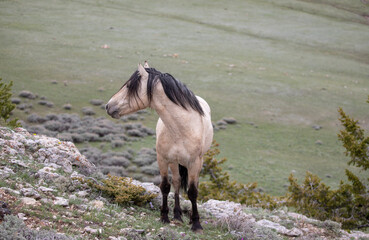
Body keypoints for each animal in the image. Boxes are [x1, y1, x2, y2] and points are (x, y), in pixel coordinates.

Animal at [104, 62, 213, 232]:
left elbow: (193, 192)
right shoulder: (162, 159)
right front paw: (164, 217)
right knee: (176, 182)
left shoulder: (194, 163)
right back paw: (177, 216)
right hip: (174, 162)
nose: (108, 106)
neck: (181, 129)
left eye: (128, 86)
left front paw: (196, 224)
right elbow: (165, 186)